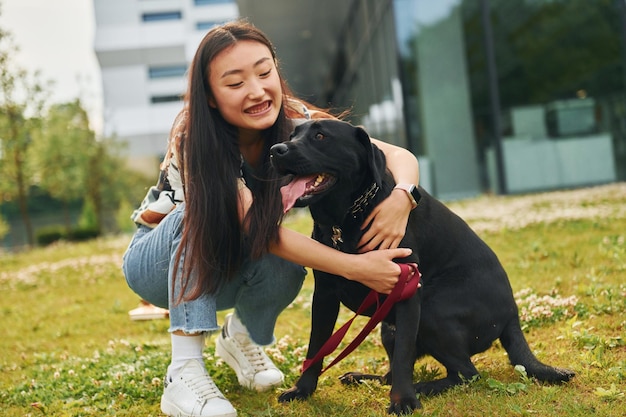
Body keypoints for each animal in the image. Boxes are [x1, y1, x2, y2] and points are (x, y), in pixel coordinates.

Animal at [266, 118, 572, 412]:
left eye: (320, 136)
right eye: (292, 135)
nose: (275, 150)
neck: (345, 218)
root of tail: (513, 314)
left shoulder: (408, 290)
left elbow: (403, 354)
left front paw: (403, 401)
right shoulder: (325, 295)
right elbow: (316, 347)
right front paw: (302, 390)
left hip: (432, 310)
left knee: (467, 373)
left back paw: (423, 387)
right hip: (387, 326)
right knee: (402, 372)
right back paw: (363, 378)